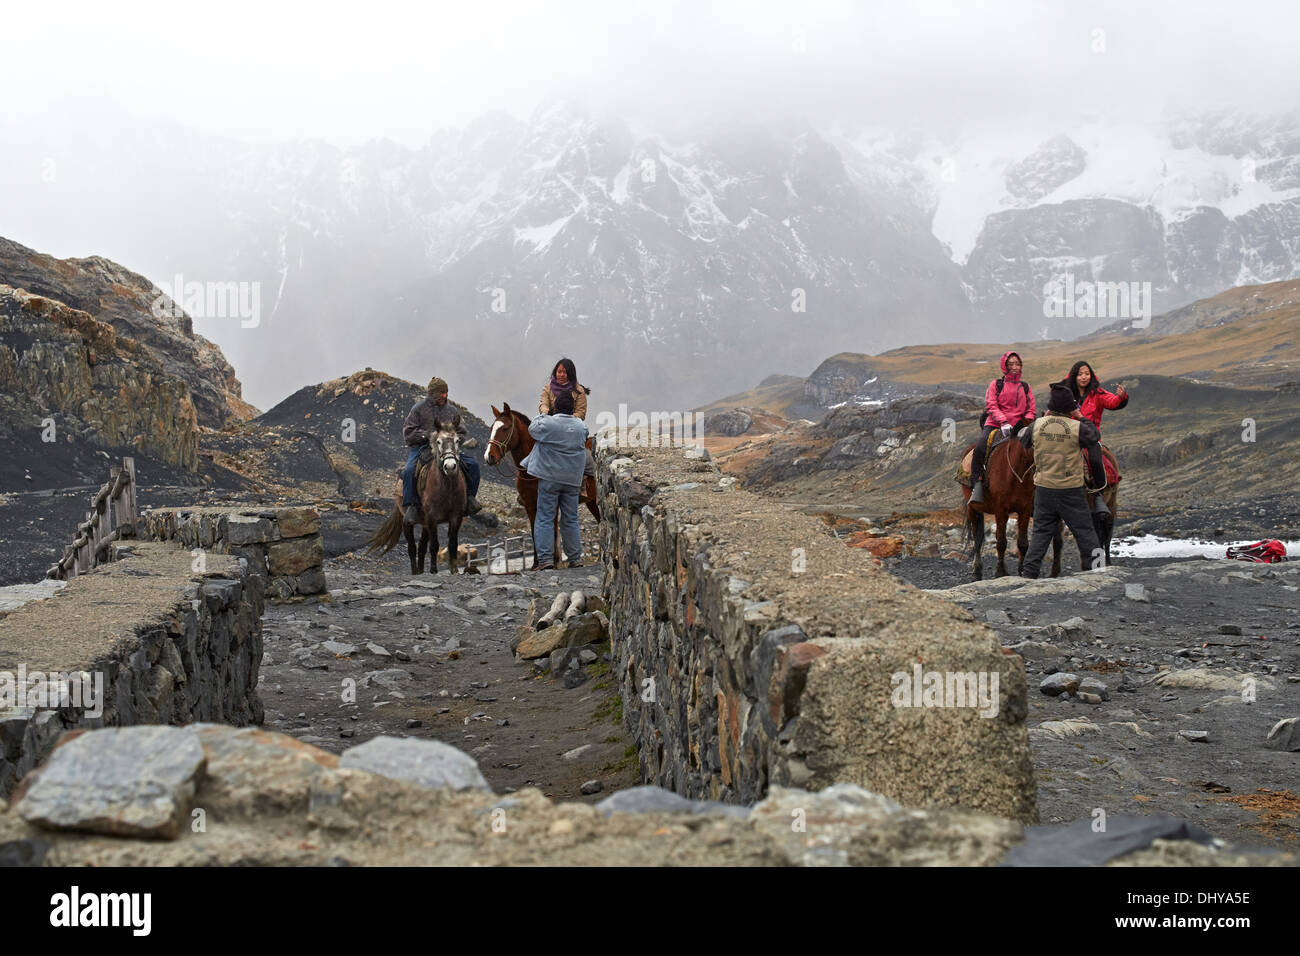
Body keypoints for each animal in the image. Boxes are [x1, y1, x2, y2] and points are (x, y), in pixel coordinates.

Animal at [366, 421, 467, 572]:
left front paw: (454, 570)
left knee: (421, 548)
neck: (446, 488)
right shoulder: (432, 518)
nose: (450, 467)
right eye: (438, 441)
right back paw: (415, 571)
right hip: (407, 522)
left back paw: (420, 570)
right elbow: (434, 545)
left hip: (424, 524)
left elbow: (452, 544)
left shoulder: (456, 516)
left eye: (457, 440)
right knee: (412, 548)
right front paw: (433, 571)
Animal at [488, 403, 598, 567]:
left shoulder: (552, 502)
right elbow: (535, 531)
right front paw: (536, 564)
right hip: (593, 503)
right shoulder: (530, 504)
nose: (489, 456)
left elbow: (552, 531)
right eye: (491, 428)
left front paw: (554, 561)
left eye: (505, 428)